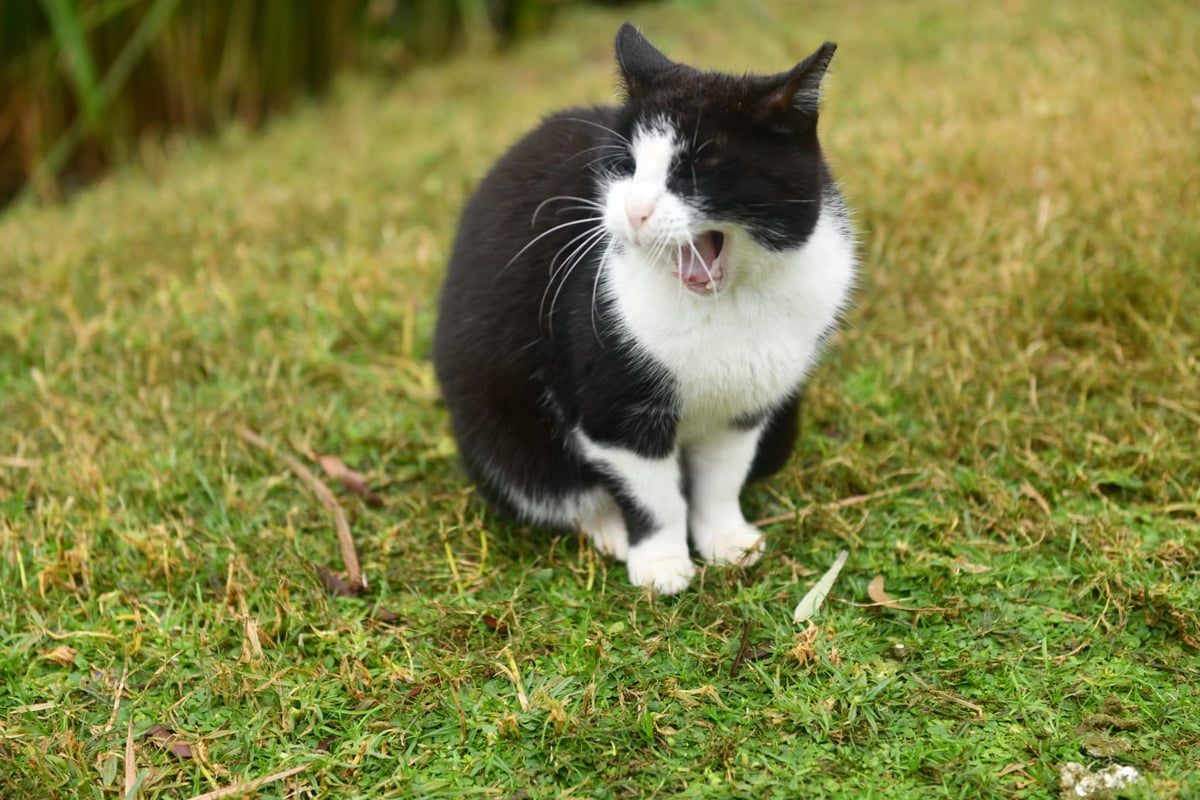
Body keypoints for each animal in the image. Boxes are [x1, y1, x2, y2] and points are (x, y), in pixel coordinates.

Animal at [432, 23, 854, 594]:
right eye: (627, 166)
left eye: (695, 170)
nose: (634, 210)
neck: (725, 307)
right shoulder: (615, 412)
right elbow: (654, 497)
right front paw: (660, 564)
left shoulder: (745, 407)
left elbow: (722, 478)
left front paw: (726, 540)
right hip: (497, 425)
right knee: (547, 486)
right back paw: (608, 528)